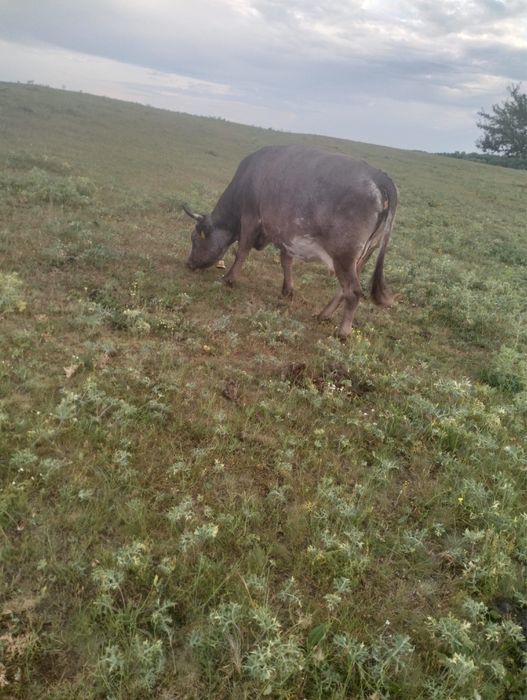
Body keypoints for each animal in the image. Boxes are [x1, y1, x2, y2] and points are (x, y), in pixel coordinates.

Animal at [184, 144, 398, 339]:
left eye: (194, 239)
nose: (189, 263)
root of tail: (380, 176)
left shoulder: (251, 217)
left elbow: (242, 251)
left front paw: (228, 279)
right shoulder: (287, 235)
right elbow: (286, 261)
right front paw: (287, 290)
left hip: (343, 254)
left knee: (353, 292)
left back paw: (343, 332)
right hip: (363, 254)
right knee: (343, 289)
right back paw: (324, 314)